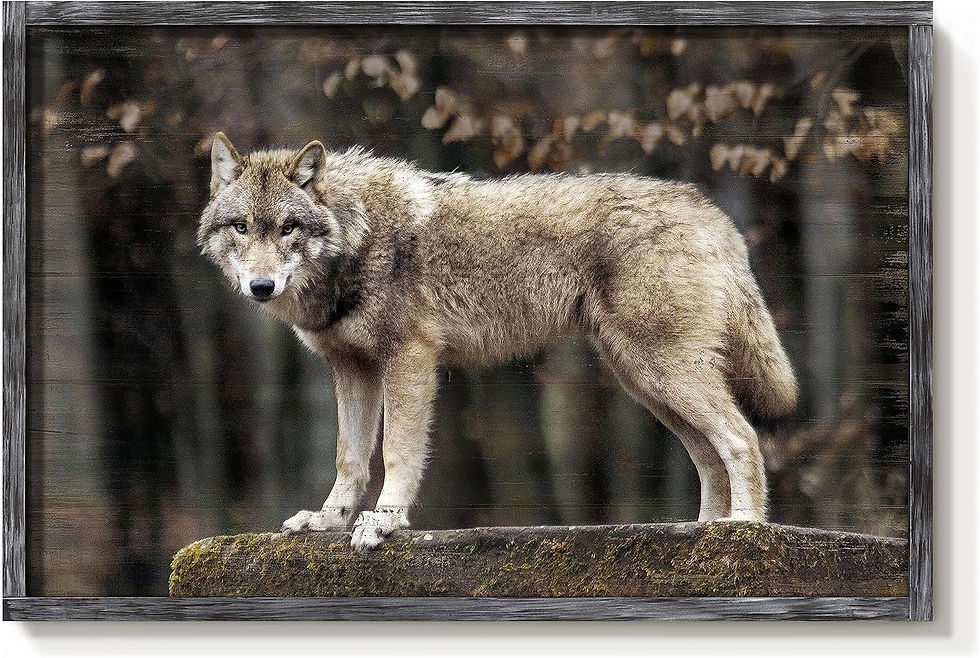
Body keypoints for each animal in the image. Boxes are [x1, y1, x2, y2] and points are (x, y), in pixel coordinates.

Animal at [198, 132, 797, 552]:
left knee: (742, 437)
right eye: (242, 227)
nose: (260, 286)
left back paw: (744, 529)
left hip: (662, 374)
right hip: (646, 381)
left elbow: (395, 453)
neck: (357, 236)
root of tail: (711, 211)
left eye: (288, 228)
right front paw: (327, 521)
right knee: (709, 455)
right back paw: (705, 533)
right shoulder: (352, 368)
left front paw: (384, 523)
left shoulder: (409, 360)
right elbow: (349, 458)